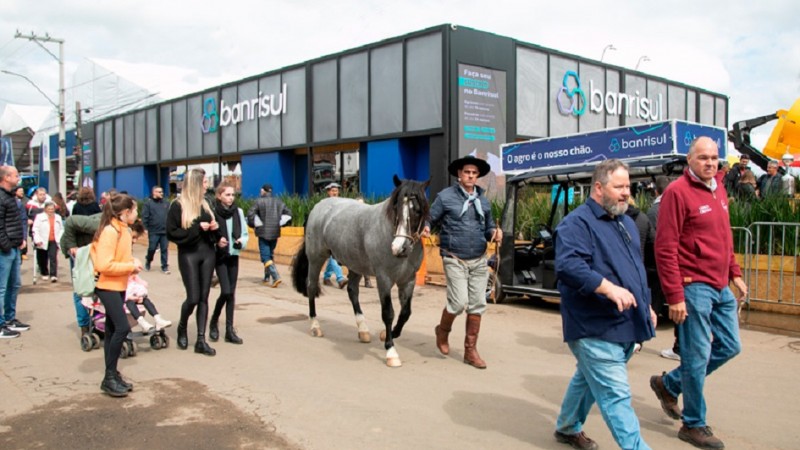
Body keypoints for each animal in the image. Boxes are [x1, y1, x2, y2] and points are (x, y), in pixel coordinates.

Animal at [292, 175, 428, 366]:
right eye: (396, 208)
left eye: (417, 210)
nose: (399, 248)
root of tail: (318, 207)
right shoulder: (383, 279)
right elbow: (388, 313)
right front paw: (391, 351)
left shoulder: (408, 280)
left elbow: (405, 313)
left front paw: (389, 334)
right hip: (316, 258)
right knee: (311, 287)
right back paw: (315, 326)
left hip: (355, 264)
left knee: (352, 291)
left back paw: (363, 330)